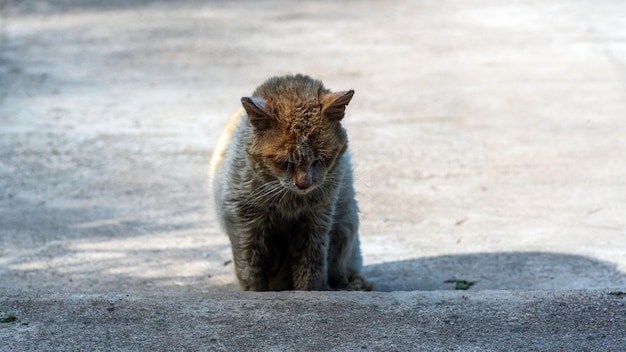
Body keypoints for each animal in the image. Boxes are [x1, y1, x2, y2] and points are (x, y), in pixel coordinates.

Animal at [207, 74, 372, 292]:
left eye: (321, 160)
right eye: (284, 162)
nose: (304, 183)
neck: (288, 202)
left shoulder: (317, 218)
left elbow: (311, 264)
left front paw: (311, 290)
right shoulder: (242, 218)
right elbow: (249, 268)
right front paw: (254, 291)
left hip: (346, 224)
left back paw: (350, 283)